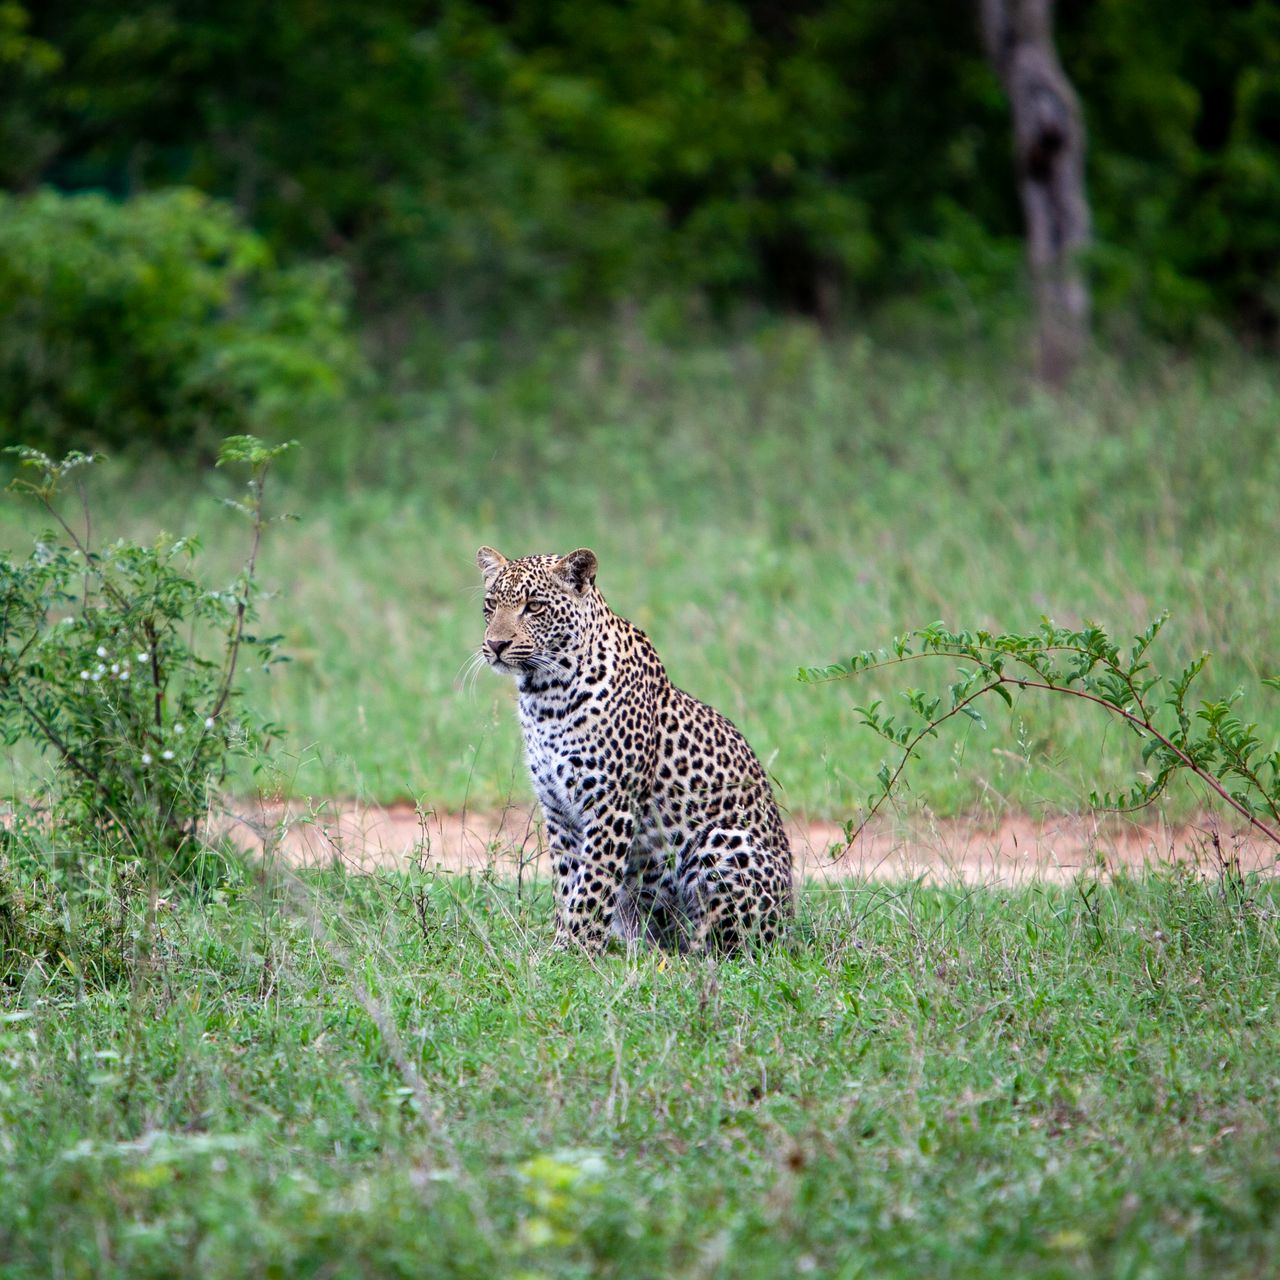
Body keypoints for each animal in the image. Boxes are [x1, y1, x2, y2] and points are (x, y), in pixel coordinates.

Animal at [476, 545, 788, 957]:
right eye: (491, 605)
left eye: (534, 606)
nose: (496, 645)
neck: (545, 695)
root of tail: (791, 925)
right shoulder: (558, 811)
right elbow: (567, 885)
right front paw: (562, 944)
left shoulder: (611, 805)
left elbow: (592, 886)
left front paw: (575, 950)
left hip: (724, 842)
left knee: (732, 946)